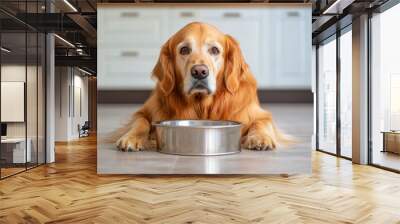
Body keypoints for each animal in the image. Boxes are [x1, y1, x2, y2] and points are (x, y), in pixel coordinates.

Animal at [115, 21, 288, 151]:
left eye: (214, 50)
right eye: (184, 50)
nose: (199, 72)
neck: (202, 105)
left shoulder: (259, 114)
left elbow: (261, 122)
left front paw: (261, 138)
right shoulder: (144, 111)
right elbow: (140, 122)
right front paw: (131, 138)